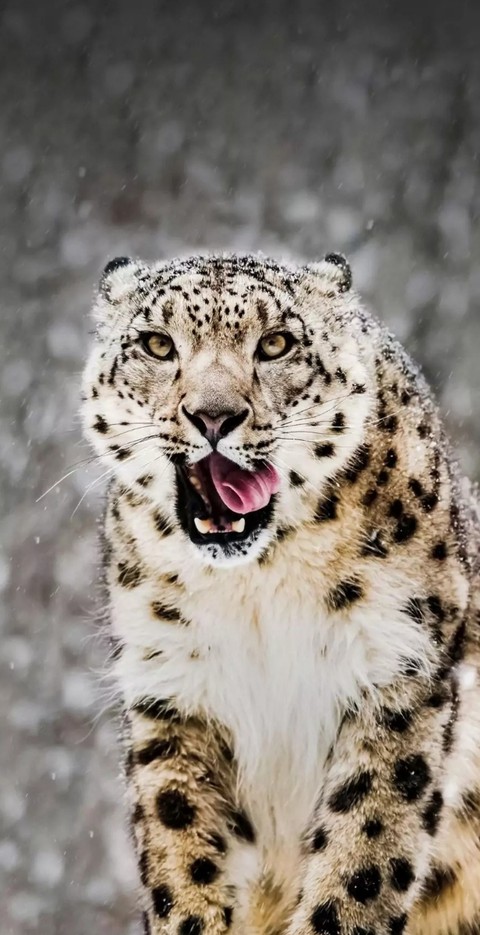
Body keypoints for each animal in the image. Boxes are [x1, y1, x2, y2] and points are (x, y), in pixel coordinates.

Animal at [82, 251, 480, 935]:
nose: (214, 416)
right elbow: (183, 851)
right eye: (157, 343)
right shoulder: (174, 695)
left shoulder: (398, 674)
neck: (258, 589)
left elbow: (363, 853)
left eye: (276, 344)